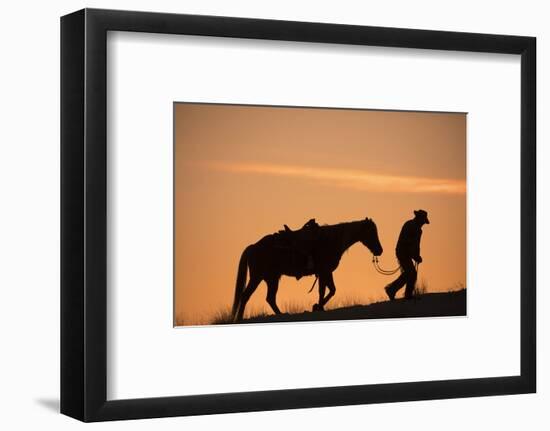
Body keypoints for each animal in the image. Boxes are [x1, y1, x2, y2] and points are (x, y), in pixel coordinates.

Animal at [233, 218, 384, 322]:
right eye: (372, 232)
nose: (380, 250)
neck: (330, 240)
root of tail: (253, 246)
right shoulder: (324, 272)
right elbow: (324, 291)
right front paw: (317, 306)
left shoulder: (327, 272)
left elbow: (331, 290)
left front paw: (318, 306)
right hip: (257, 277)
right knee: (246, 295)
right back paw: (240, 319)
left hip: (272, 278)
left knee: (270, 298)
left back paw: (281, 314)